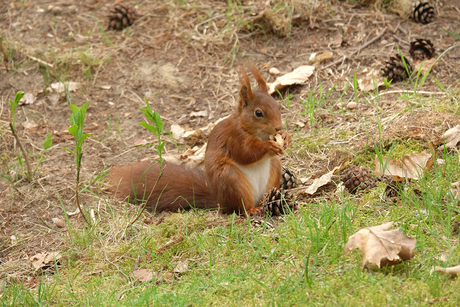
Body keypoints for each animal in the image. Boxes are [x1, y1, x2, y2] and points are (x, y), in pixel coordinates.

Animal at [108, 65, 292, 214]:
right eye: (258, 113)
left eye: (277, 105)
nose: (279, 127)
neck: (255, 131)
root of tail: (221, 201)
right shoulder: (233, 137)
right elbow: (245, 154)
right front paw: (269, 146)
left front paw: (286, 137)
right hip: (231, 179)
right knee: (240, 208)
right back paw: (252, 210)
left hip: (274, 170)